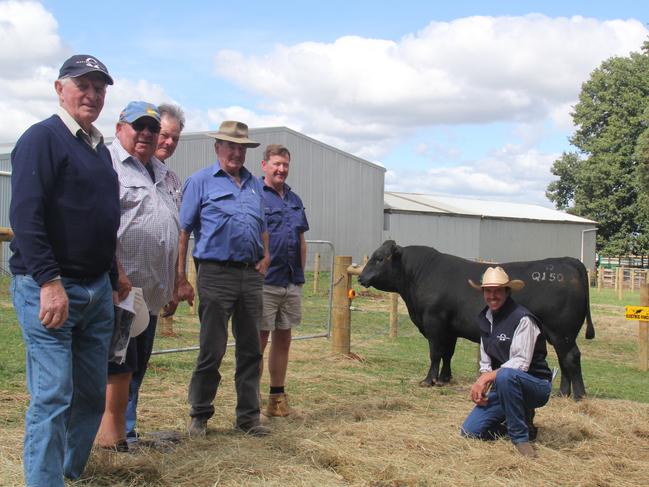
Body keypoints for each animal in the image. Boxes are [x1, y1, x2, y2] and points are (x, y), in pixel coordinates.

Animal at [356, 240, 596, 400]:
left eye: (379, 258)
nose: (360, 277)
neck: (419, 275)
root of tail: (567, 261)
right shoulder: (449, 329)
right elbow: (447, 354)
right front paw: (444, 379)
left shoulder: (435, 323)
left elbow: (435, 353)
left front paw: (428, 380)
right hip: (557, 334)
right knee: (564, 360)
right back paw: (562, 393)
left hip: (562, 331)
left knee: (571, 357)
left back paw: (579, 396)